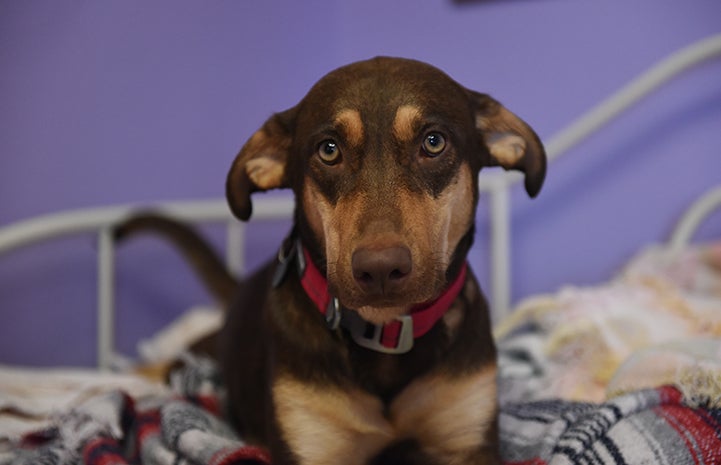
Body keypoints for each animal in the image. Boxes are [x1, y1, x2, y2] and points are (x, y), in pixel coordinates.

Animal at [119, 58, 544, 464]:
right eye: (328, 150)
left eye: (433, 142)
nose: (380, 269)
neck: (384, 334)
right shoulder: (310, 440)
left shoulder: (467, 438)